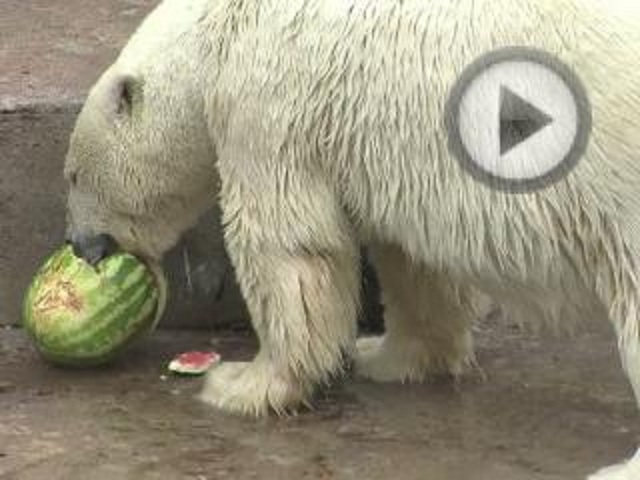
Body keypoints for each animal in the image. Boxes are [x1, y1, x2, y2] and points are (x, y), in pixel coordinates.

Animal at [63, 1, 640, 478]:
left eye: (71, 176)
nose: (82, 246)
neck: (220, 30)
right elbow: (410, 260)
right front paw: (384, 355)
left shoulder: (269, 102)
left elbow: (286, 244)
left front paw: (240, 384)